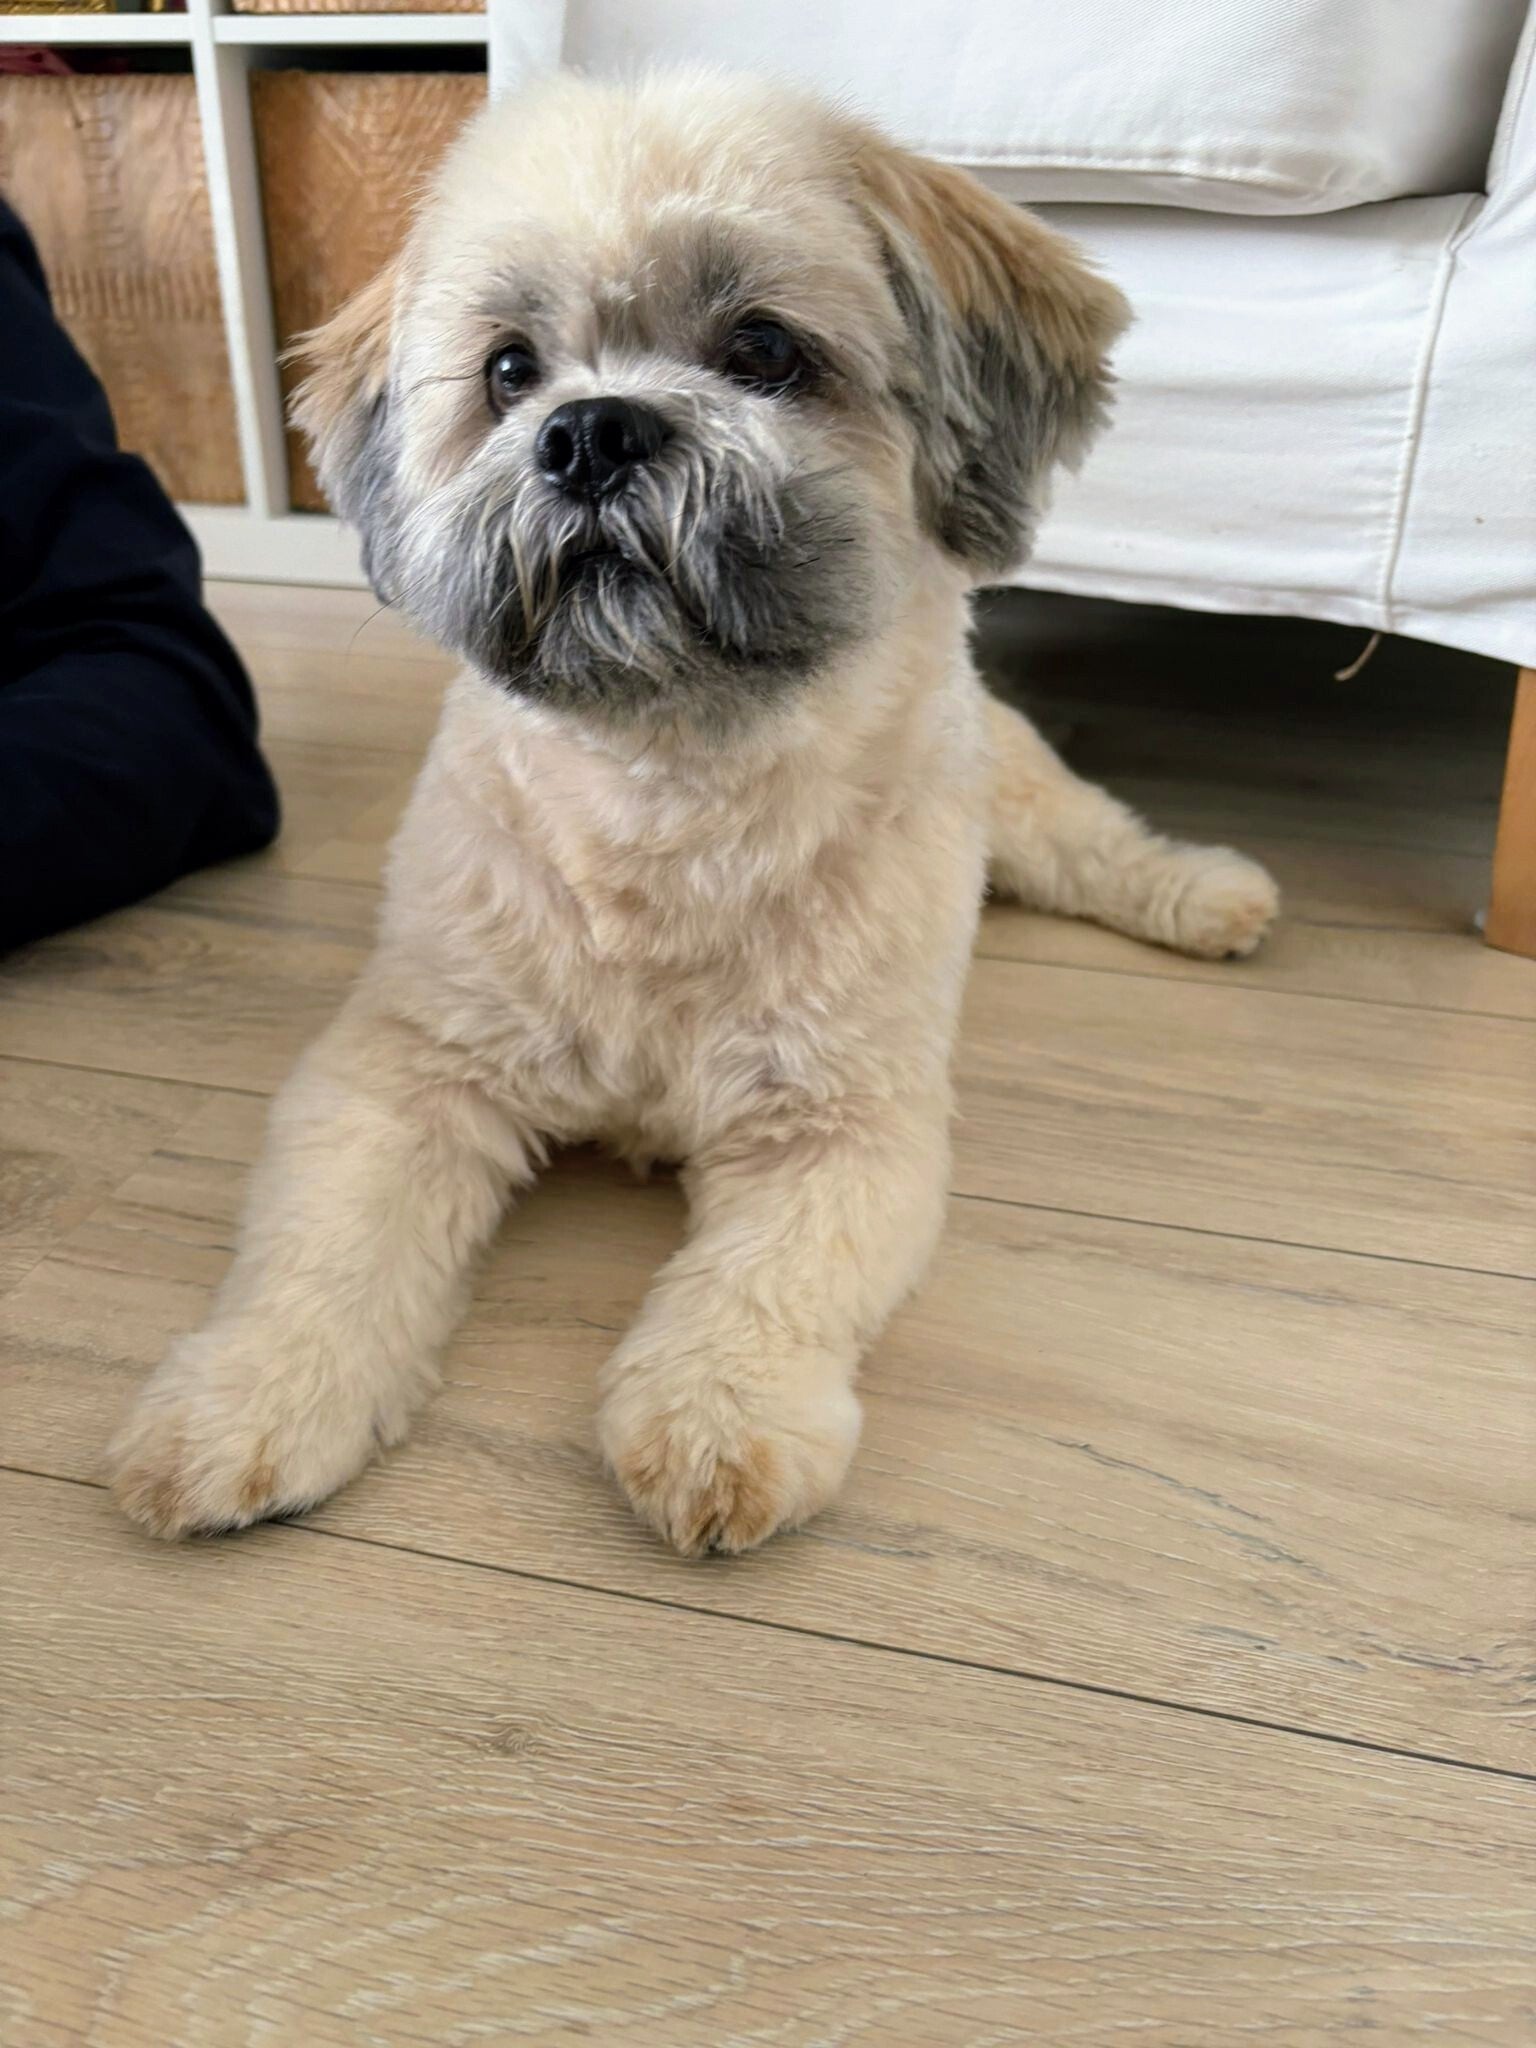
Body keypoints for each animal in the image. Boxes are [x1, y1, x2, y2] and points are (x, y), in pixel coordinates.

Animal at [107, 71, 1277, 1555]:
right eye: (509, 371)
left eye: (764, 350)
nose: (593, 429)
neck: (663, 790)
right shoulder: (405, 1070)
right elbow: (323, 1253)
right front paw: (246, 1398)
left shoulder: (842, 1126)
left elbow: (762, 1284)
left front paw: (721, 1416)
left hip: (1023, 805)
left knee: (1099, 847)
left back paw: (1209, 896)